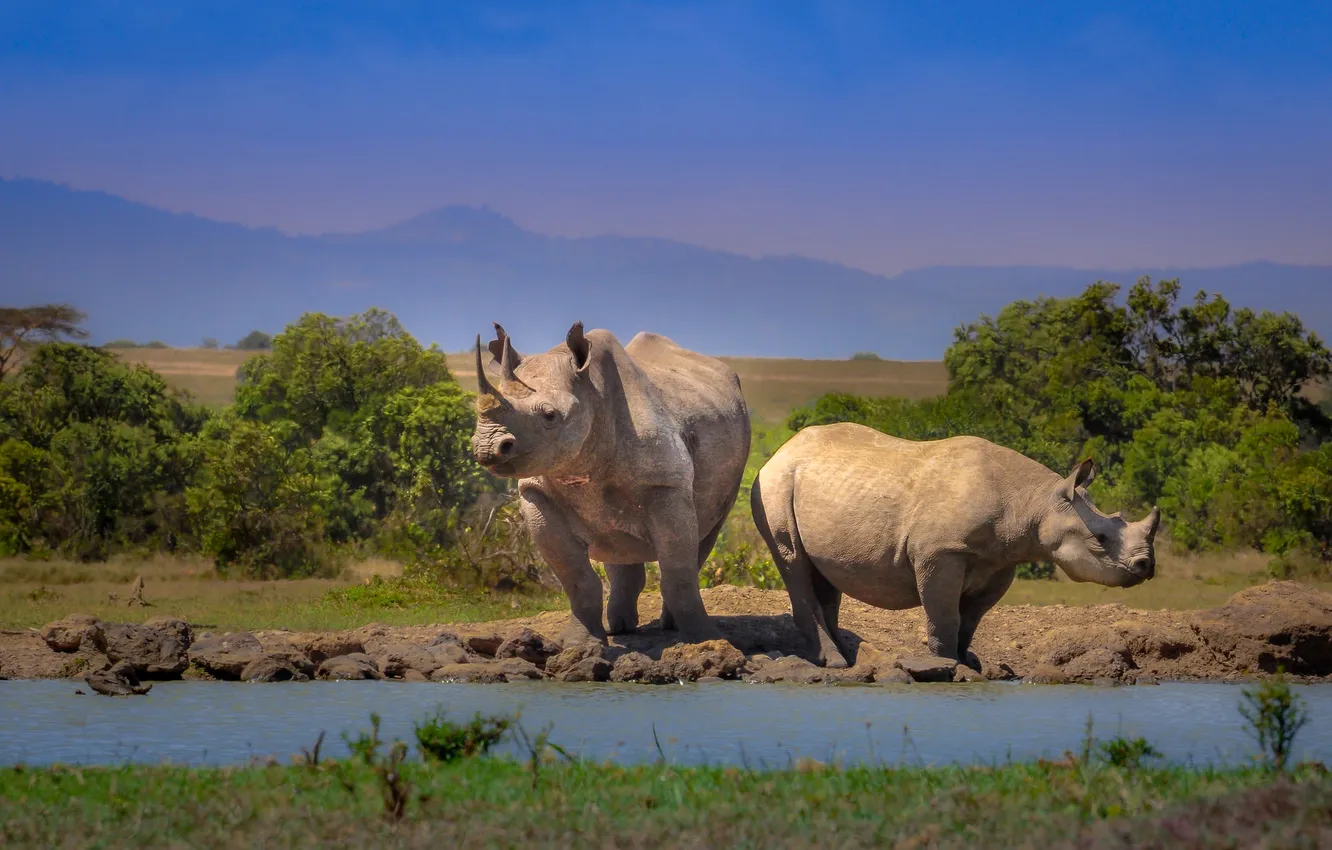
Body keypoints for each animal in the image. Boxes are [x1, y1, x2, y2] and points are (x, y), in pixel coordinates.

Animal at [471, 322, 750, 645]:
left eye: (550, 416)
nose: (488, 447)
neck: (591, 391)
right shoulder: (535, 492)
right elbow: (576, 577)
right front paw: (580, 644)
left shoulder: (666, 484)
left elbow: (678, 572)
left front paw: (706, 640)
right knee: (616, 541)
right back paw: (621, 628)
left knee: (706, 533)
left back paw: (669, 627)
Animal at [751, 423, 1160, 669]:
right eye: (1100, 539)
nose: (1147, 567)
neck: (1036, 502)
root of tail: (779, 451)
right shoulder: (940, 552)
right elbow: (945, 614)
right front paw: (946, 664)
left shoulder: (1000, 561)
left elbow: (971, 618)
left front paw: (969, 663)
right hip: (773, 485)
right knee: (793, 560)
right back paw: (835, 662)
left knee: (821, 573)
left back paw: (847, 658)